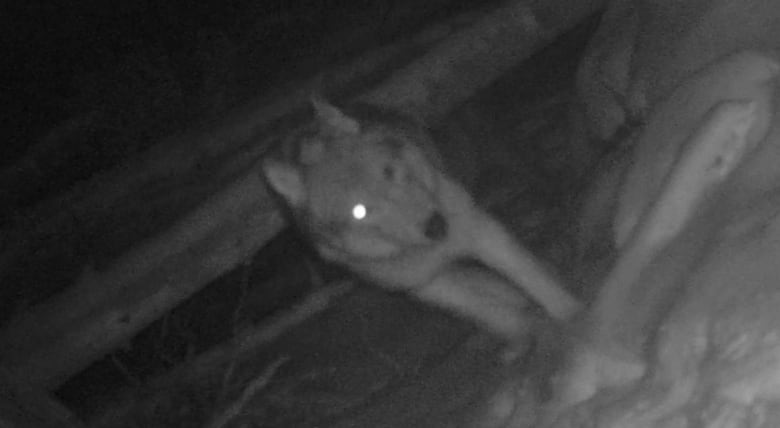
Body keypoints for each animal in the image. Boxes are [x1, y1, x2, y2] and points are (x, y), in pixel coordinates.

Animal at [262, 98, 580, 342]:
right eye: (359, 211)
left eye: (389, 172)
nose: (436, 225)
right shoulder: (424, 285)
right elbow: (492, 314)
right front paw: (531, 333)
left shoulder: (480, 231)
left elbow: (535, 279)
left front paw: (573, 318)